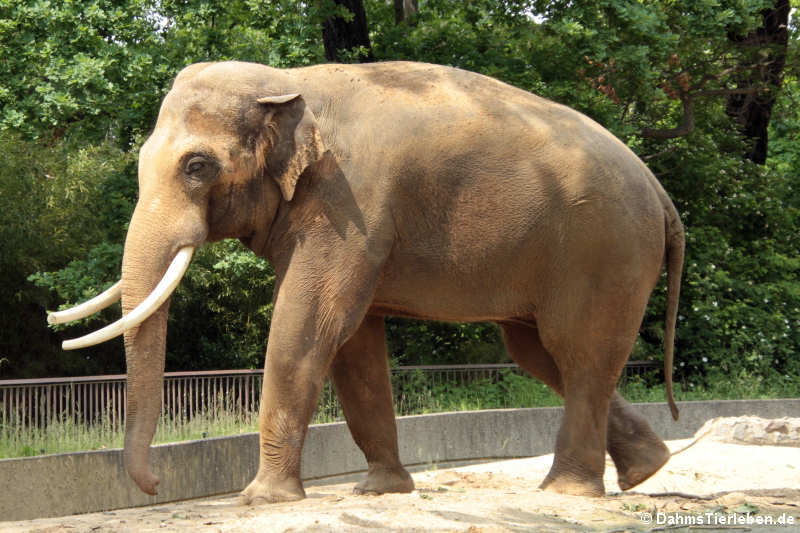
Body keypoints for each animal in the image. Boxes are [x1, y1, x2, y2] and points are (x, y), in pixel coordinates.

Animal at [48, 60, 684, 502]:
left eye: (197, 166)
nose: (155, 485)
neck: (289, 83)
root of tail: (662, 195)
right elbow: (353, 344)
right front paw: (380, 490)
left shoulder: (350, 200)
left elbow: (310, 323)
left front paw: (259, 500)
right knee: (539, 352)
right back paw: (647, 469)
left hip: (604, 249)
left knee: (577, 352)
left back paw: (567, 491)